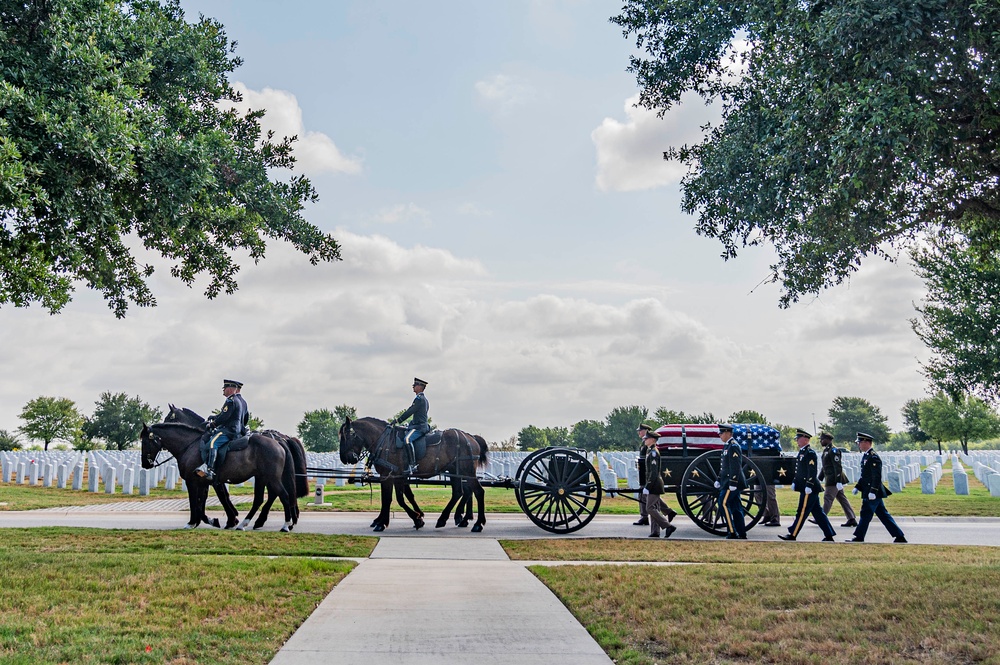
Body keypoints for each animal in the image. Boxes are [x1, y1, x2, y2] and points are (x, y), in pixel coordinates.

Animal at [142, 422, 296, 532]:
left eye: (145, 441)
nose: (145, 463)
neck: (189, 446)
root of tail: (277, 442)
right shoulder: (204, 483)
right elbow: (202, 504)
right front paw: (210, 521)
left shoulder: (193, 482)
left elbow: (195, 503)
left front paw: (193, 523)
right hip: (262, 478)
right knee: (259, 499)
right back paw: (244, 524)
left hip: (272, 479)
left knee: (284, 495)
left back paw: (285, 525)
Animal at [164, 404, 308, 528]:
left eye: (169, 418)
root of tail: (281, 439)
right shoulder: (212, 480)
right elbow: (217, 496)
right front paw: (228, 518)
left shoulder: (212, 479)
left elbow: (221, 496)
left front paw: (230, 519)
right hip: (266, 476)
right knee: (274, 494)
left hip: (269, 476)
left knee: (276, 494)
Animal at [338, 418, 490, 532]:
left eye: (346, 436)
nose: (345, 458)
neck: (384, 441)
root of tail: (471, 437)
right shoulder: (397, 477)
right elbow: (402, 497)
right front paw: (417, 518)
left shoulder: (389, 476)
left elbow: (391, 499)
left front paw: (383, 523)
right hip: (455, 472)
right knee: (459, 492)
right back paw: (444, 519)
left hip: (467, 472)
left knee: (478, 491)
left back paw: (477, 523)